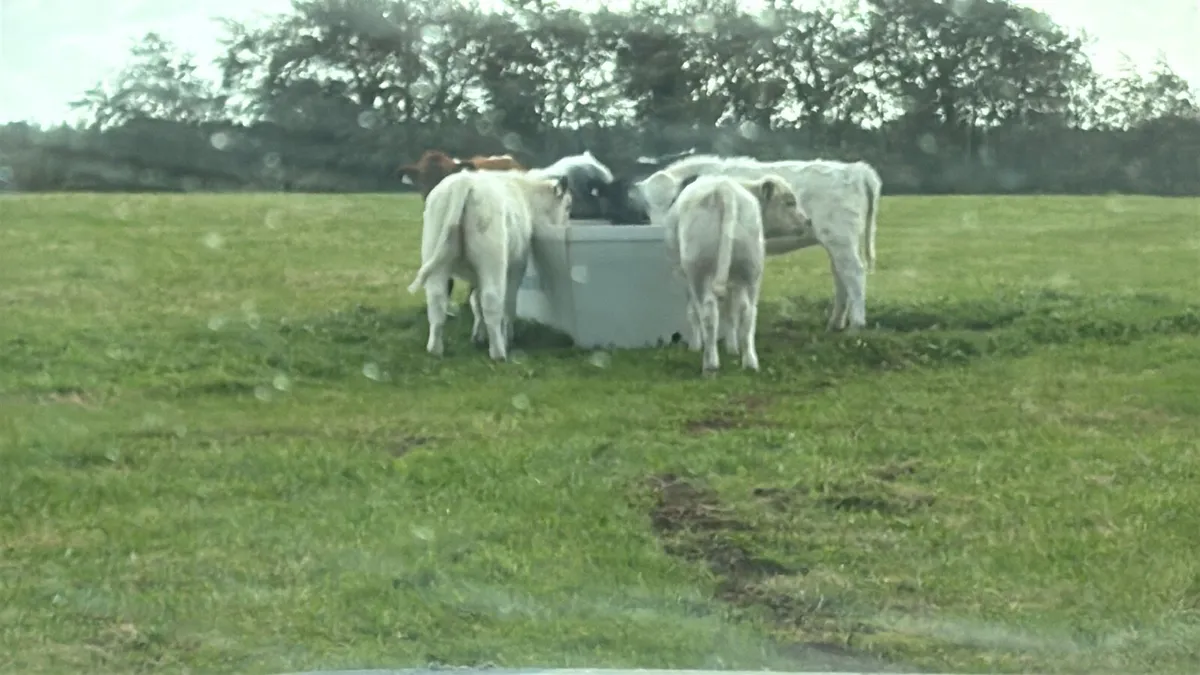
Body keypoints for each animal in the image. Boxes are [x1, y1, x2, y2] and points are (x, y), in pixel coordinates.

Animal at [406, 169, 572, 361]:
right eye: (568, 206)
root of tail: (464, 180)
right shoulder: (517, 265)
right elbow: (507, 301)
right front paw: (507, 336)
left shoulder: (477, 275)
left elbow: (475, 301)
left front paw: (479, 336)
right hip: (493, 260)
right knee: (492, 299)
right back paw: (499, 352)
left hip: (434, 254)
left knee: (437, 298)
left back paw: (435, 349)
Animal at [637, 154, 883, 332]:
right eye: (647, 205)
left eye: (672, 200)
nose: (659, 226)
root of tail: (854, 170)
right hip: (837, 242)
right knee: (842, 276)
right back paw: (836, 323)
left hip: (841, 239)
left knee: (854, 273)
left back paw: (857, 324)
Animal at [663, 173, 812, 375]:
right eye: (790, 202)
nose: (808, 221)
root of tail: (724, 189)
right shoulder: (735, 282)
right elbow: (731, 313)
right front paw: (732, 348)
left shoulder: (686, 277)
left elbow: (693, 311)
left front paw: (695, 346)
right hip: (751, 271)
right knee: (747, 312)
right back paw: (749, 361)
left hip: (699, 272)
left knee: (708, 312)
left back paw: (710, 364)